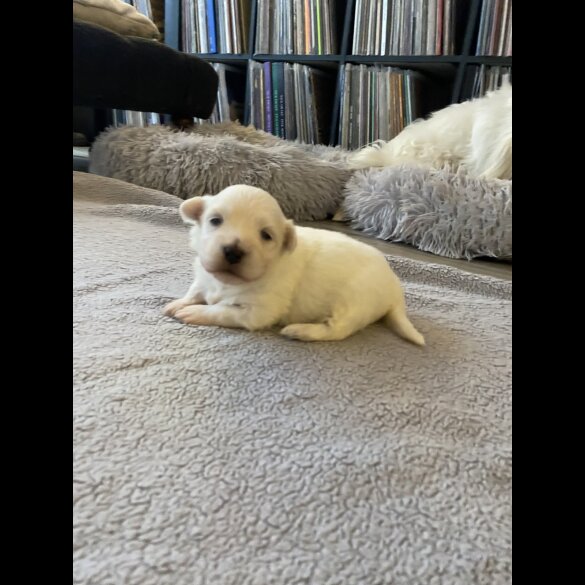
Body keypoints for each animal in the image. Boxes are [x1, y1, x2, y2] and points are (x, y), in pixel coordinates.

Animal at [164, 185, 424, 344]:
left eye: (266, 235)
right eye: (215, 220)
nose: (233, 251)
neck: (227, 283)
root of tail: (395, 288)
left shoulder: (257, 311)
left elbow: (221, 310)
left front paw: (193, 312)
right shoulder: (204, 276)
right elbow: (195, 290)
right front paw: (178, 303)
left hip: (354, 305)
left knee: (336, 330)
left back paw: (300, 331)